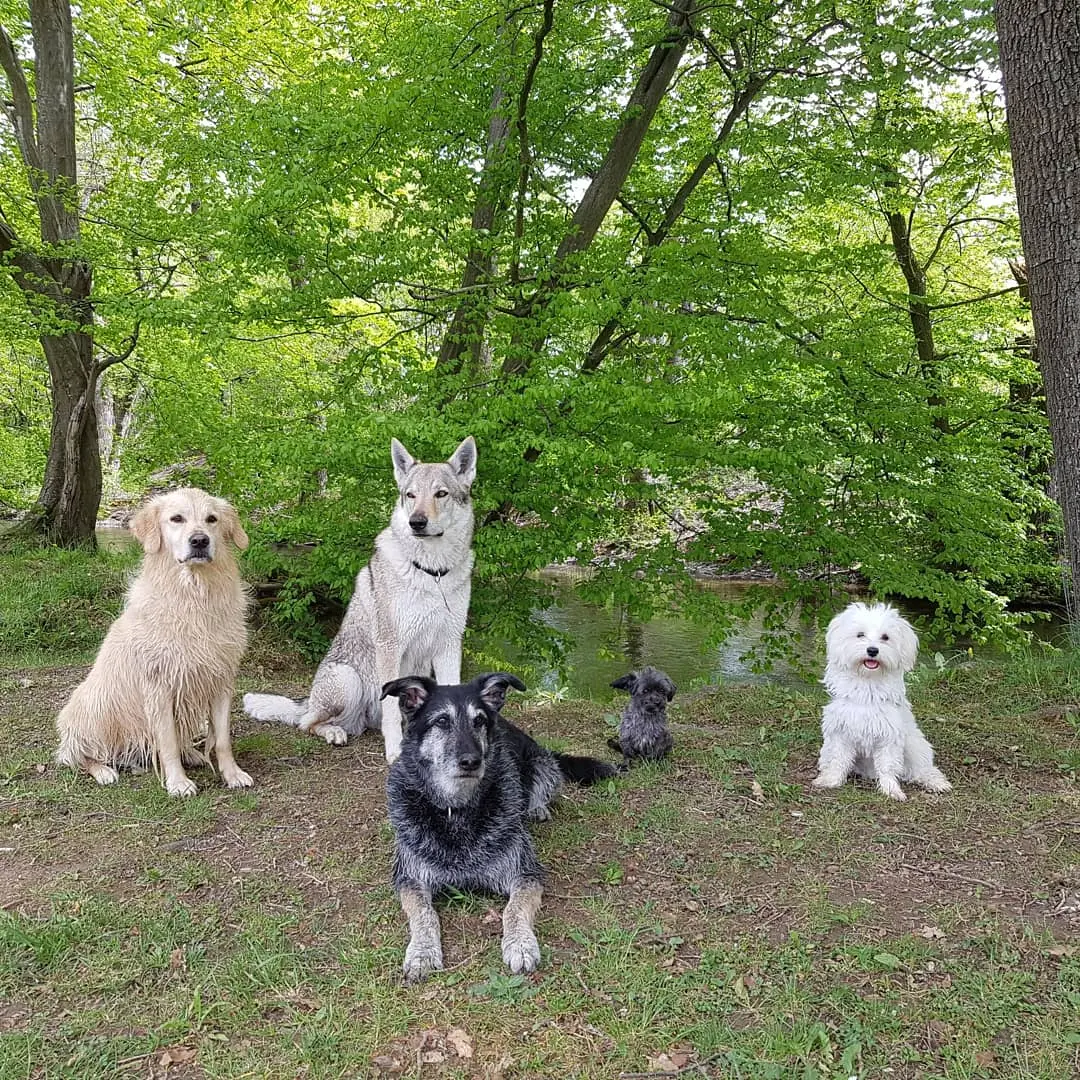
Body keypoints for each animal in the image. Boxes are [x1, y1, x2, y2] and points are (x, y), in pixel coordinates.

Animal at [56, 486, 254, 799]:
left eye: (212, 519)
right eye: (176, 518)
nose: (200, 541)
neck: (193, 596)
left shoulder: (221, 679)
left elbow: (222, 739)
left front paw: (232, 774)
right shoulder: (159, 686)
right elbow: (168, 743)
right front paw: (178, 783)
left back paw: (192, 755)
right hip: (93, 708)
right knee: (76, 755)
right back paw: (103, 771)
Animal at [250, 436, 479, 760]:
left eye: (441, 493)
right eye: (410, 495)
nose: (417, 522)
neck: (432, 573)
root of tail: (308, 699)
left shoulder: (449, 644)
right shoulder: (390, 647)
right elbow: (392, 711)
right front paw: (394, 752)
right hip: (348, 680)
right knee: (308, 723)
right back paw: (334, 732)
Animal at [382, 673, 617, 989]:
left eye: (479, 720)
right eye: (441, 721)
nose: (472, 761)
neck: (457, 809)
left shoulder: (525, 873)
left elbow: (513, 909)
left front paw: (521, 945)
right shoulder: (410, 877)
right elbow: (423, 912)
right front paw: (421, 953)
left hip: (541, 762)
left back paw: (536, 808)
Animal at [812, 604, 954, 799]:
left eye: (885, 637)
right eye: (860, 634)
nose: (872, 650)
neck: (868, 684)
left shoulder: (889, 736)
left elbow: (887, 766)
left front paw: (891, 789)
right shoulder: (841, 732)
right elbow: (838, 760)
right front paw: (830, 780)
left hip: (914, 745)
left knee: (923, 768)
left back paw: (936, 782)